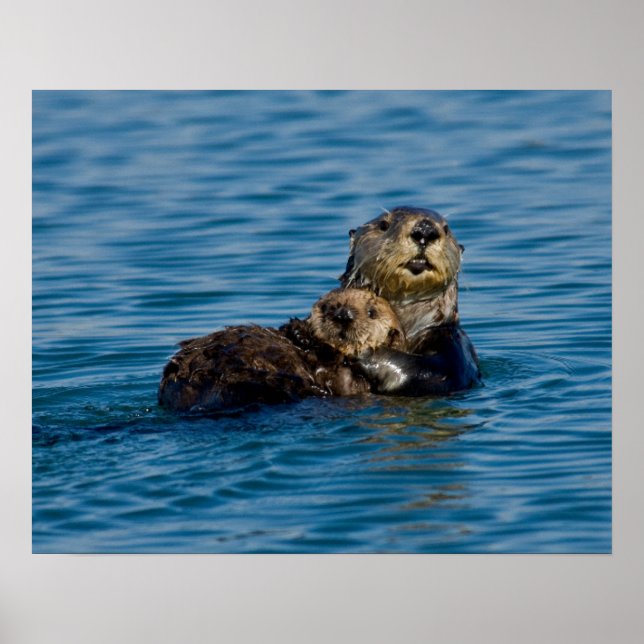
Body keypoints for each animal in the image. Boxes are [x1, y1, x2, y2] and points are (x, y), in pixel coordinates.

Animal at [158, 288, 405, 414]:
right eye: (327, 306)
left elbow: (340, 378)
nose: (343, 314)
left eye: (372, 312)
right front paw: (297, 329)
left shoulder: (352, 382)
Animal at [340, 206, 480, 395]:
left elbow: (434, 373)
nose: (425, 230)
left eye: (446, 228)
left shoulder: (456, 347)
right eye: (384, 225)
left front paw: (363, 351)